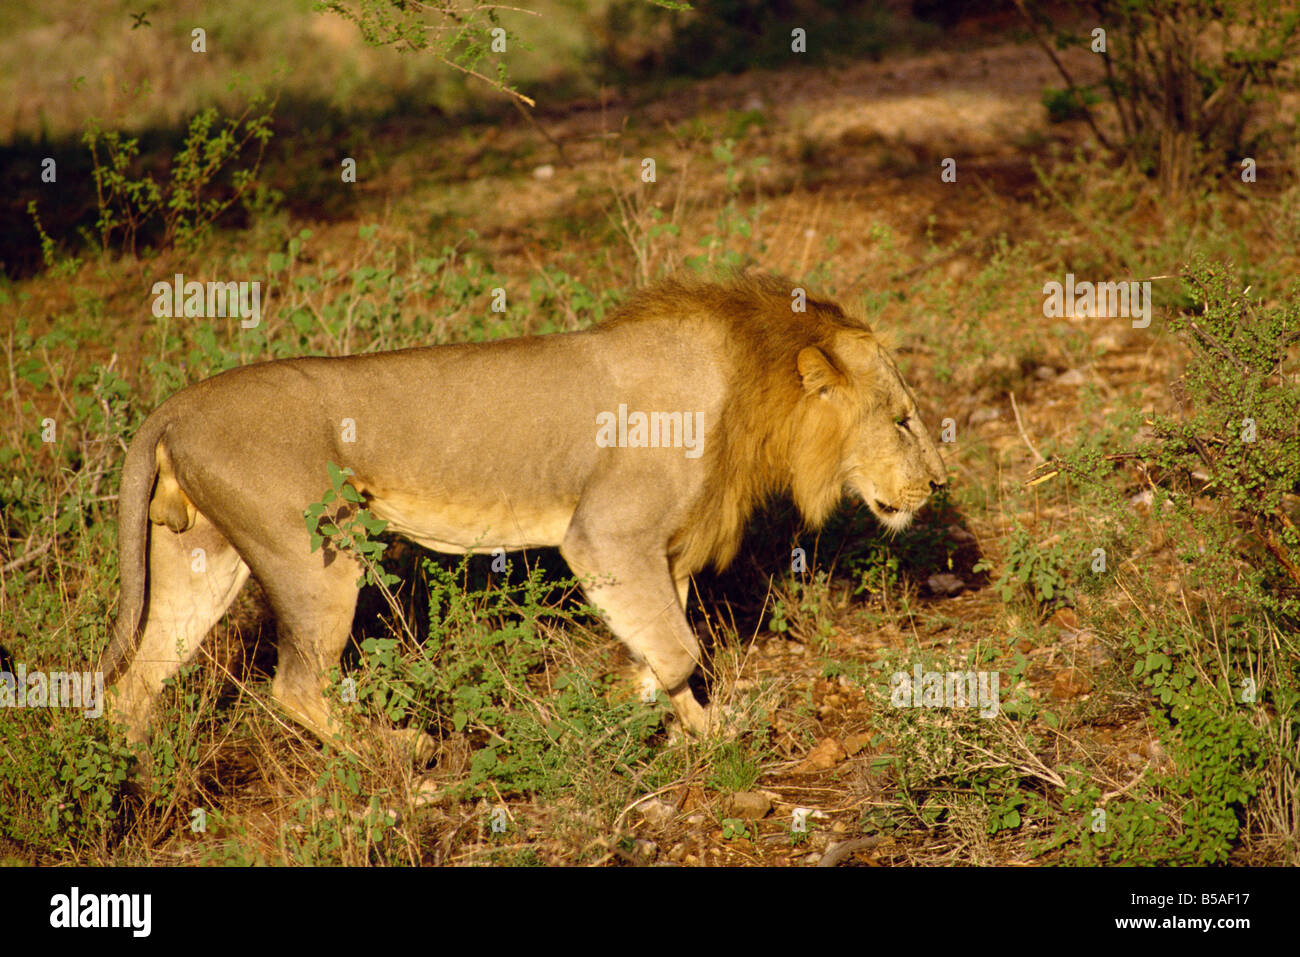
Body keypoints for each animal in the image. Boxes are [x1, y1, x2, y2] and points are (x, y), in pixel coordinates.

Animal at [103, 273, 946, 758]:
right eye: (903, 419)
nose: (940, 483)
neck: (748, 380)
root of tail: (173, 407)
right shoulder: (606, 533)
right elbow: (681, 650)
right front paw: (626, 701)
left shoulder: (659, 549)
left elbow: (671, 644)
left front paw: (695, 727)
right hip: (318, 554)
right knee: (296, 687)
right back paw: (406, 763)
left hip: (201, 558)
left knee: (133, 684)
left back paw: (128, 781)